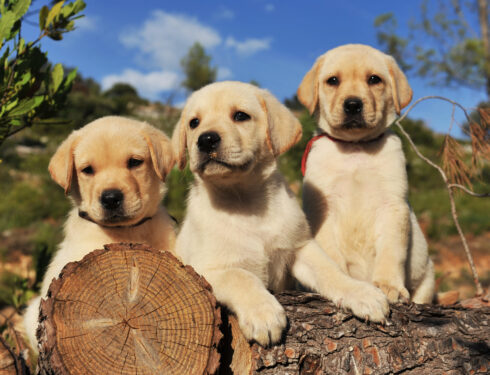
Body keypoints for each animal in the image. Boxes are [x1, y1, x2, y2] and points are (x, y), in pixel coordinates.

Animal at [170, 81, 388, 346]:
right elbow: (242, 277)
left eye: (240, 116)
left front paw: (361, 292)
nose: (206, 139)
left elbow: (331, 271)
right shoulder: (206, 268)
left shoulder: (300, 247)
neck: (246, 203)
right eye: (194, 123)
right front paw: (263, 314)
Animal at [296, 44, 434, 306]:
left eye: (374, 79)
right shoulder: (322, 208)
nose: (352, 105)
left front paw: (388, 285)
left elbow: (391, 252)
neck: (355, 148)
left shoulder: (393, 205)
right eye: (333, 80)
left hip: (427, 280)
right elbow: (331, 255)